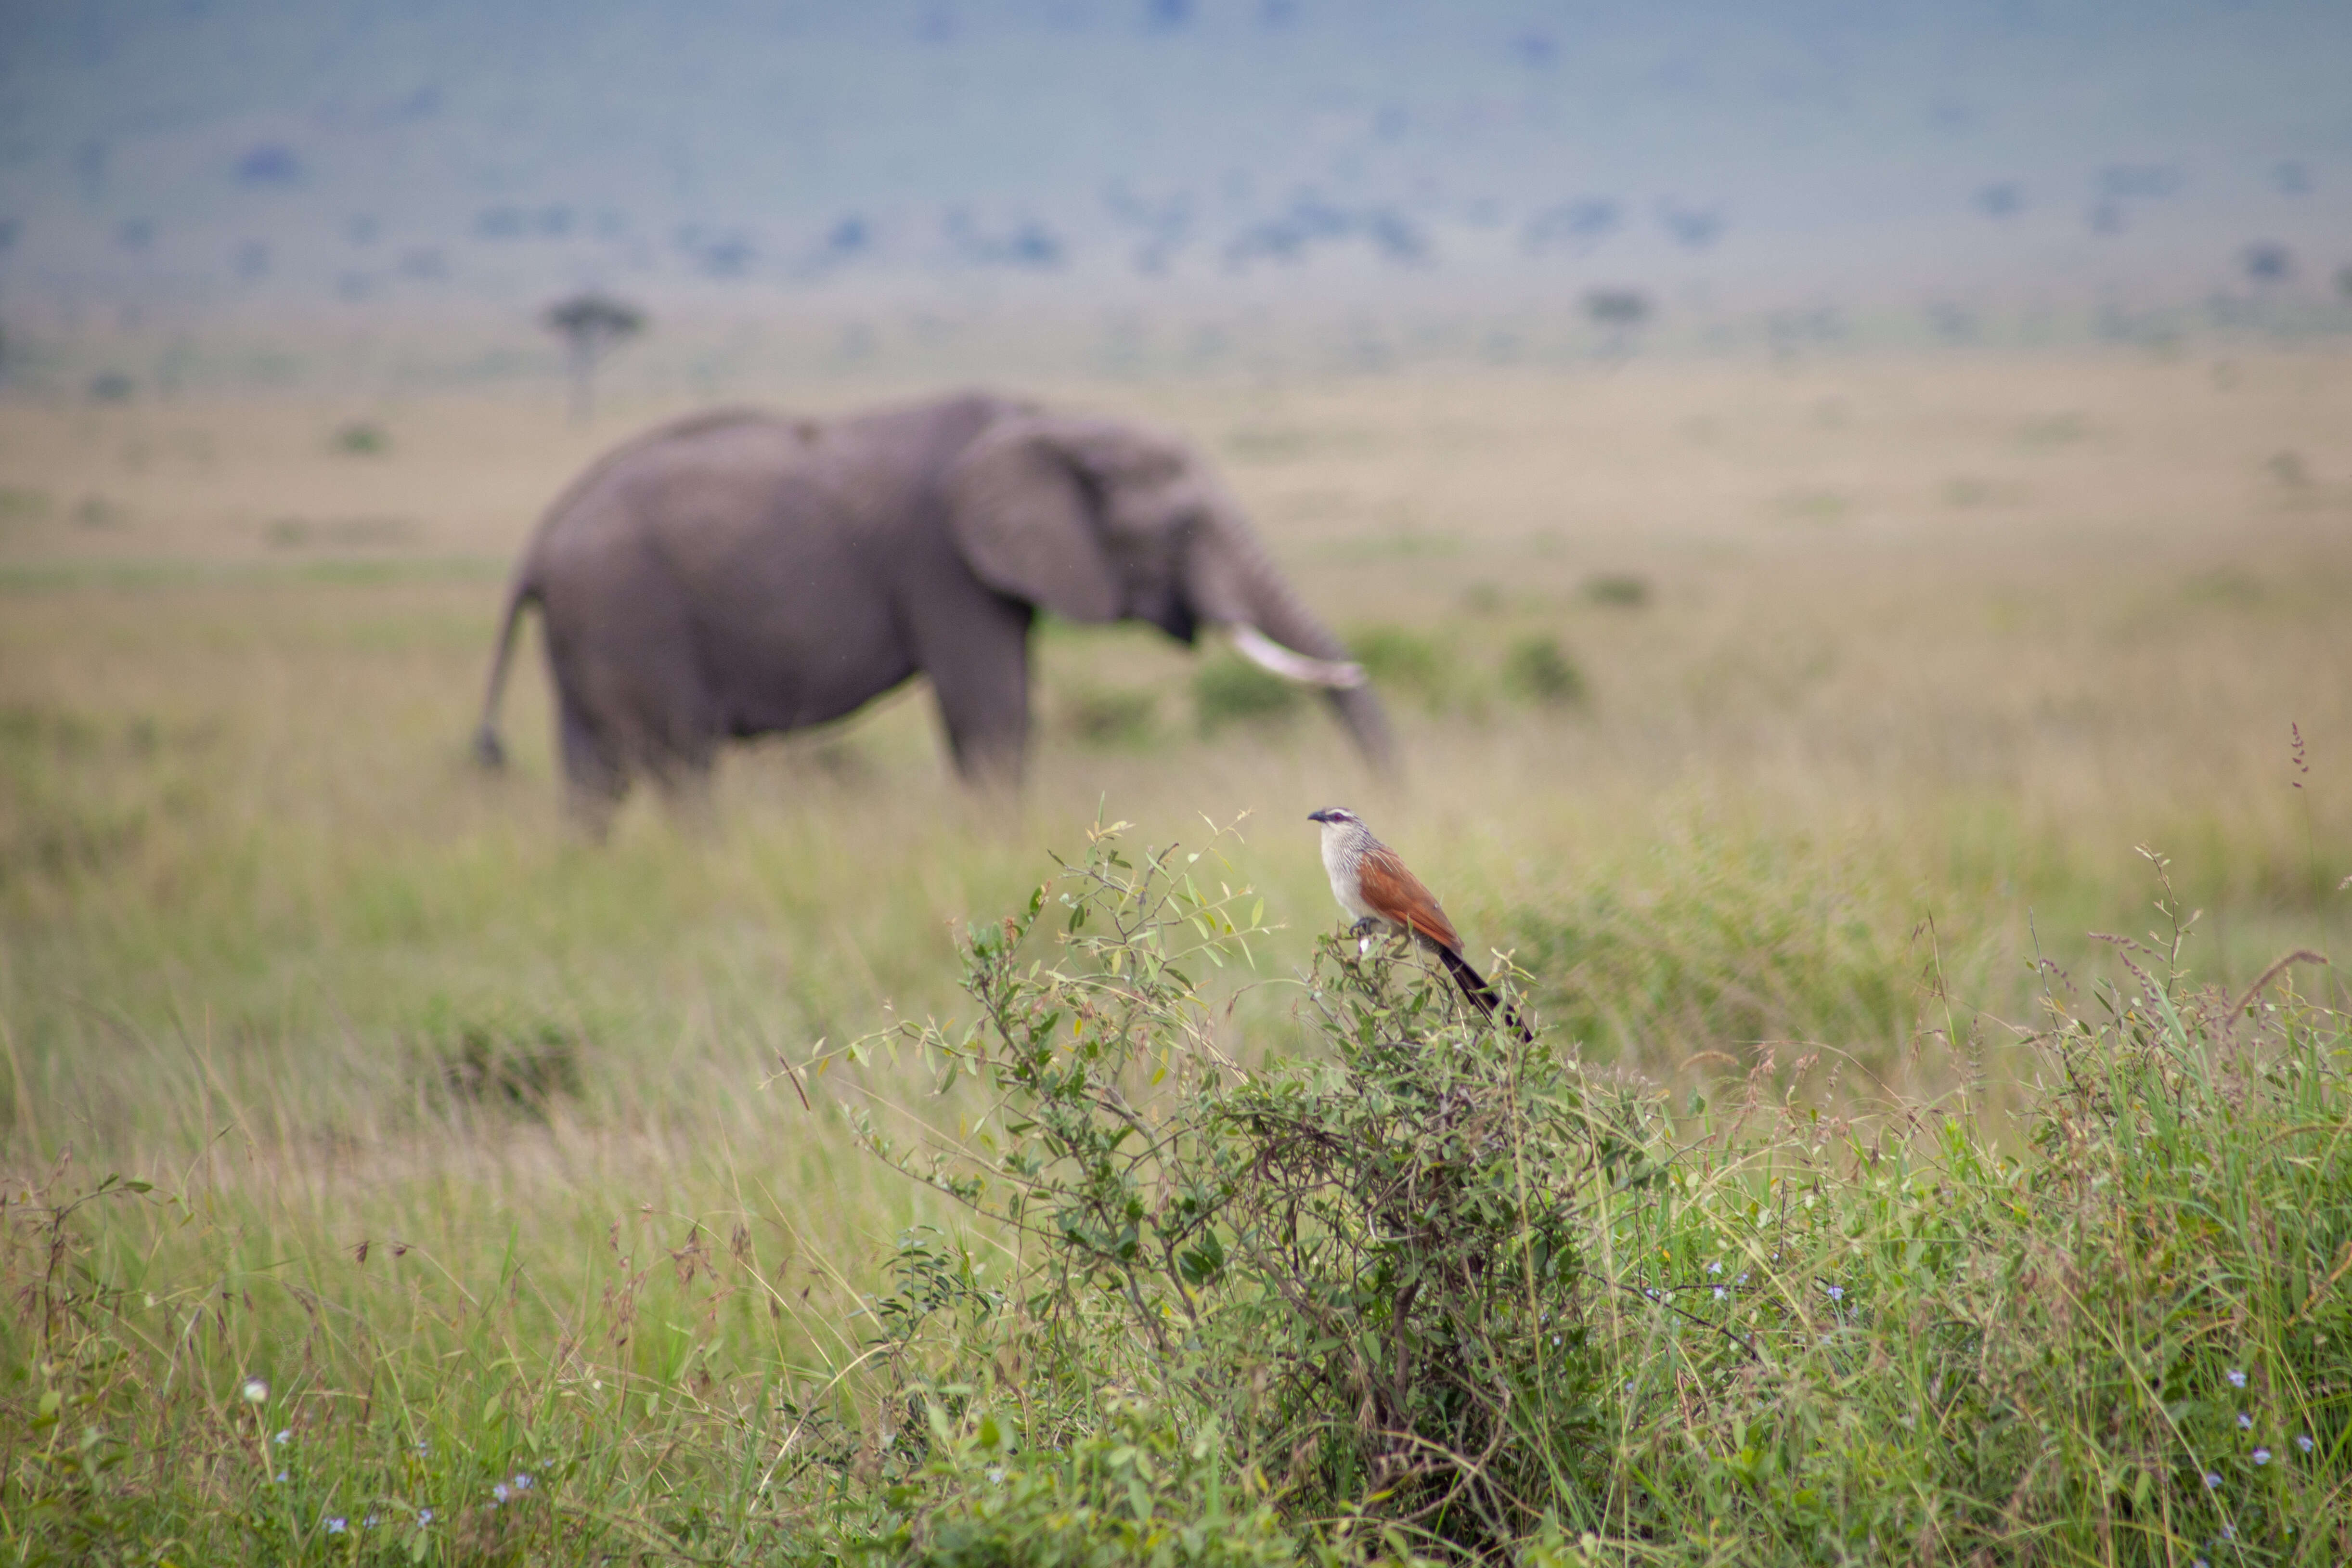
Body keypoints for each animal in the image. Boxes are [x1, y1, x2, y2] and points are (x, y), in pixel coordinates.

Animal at [473, 390, 1392, 823]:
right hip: (633, 612)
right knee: (679, 762)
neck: (1046, 421)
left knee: (592, 777)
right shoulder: (943, 563)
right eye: (1179, 526)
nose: (1374, 802)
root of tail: (540, 541)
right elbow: (994, 714)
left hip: (589, 632)